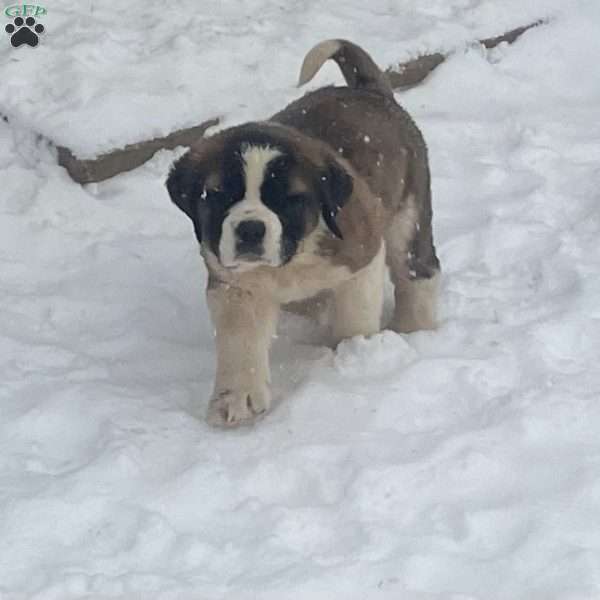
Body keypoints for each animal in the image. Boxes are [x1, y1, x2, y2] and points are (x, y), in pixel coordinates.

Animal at [166, 37, 438, 426]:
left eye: (290, 200)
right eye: (218, 196)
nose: (251, 229)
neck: (295, 256)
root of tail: (370, 91)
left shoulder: (361, 254)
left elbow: (354, 315)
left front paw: (352, 353)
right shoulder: (235, 284)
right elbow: (239, 337)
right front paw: (237, 398)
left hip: (409, 213)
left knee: (416, 269)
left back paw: (414, 327)